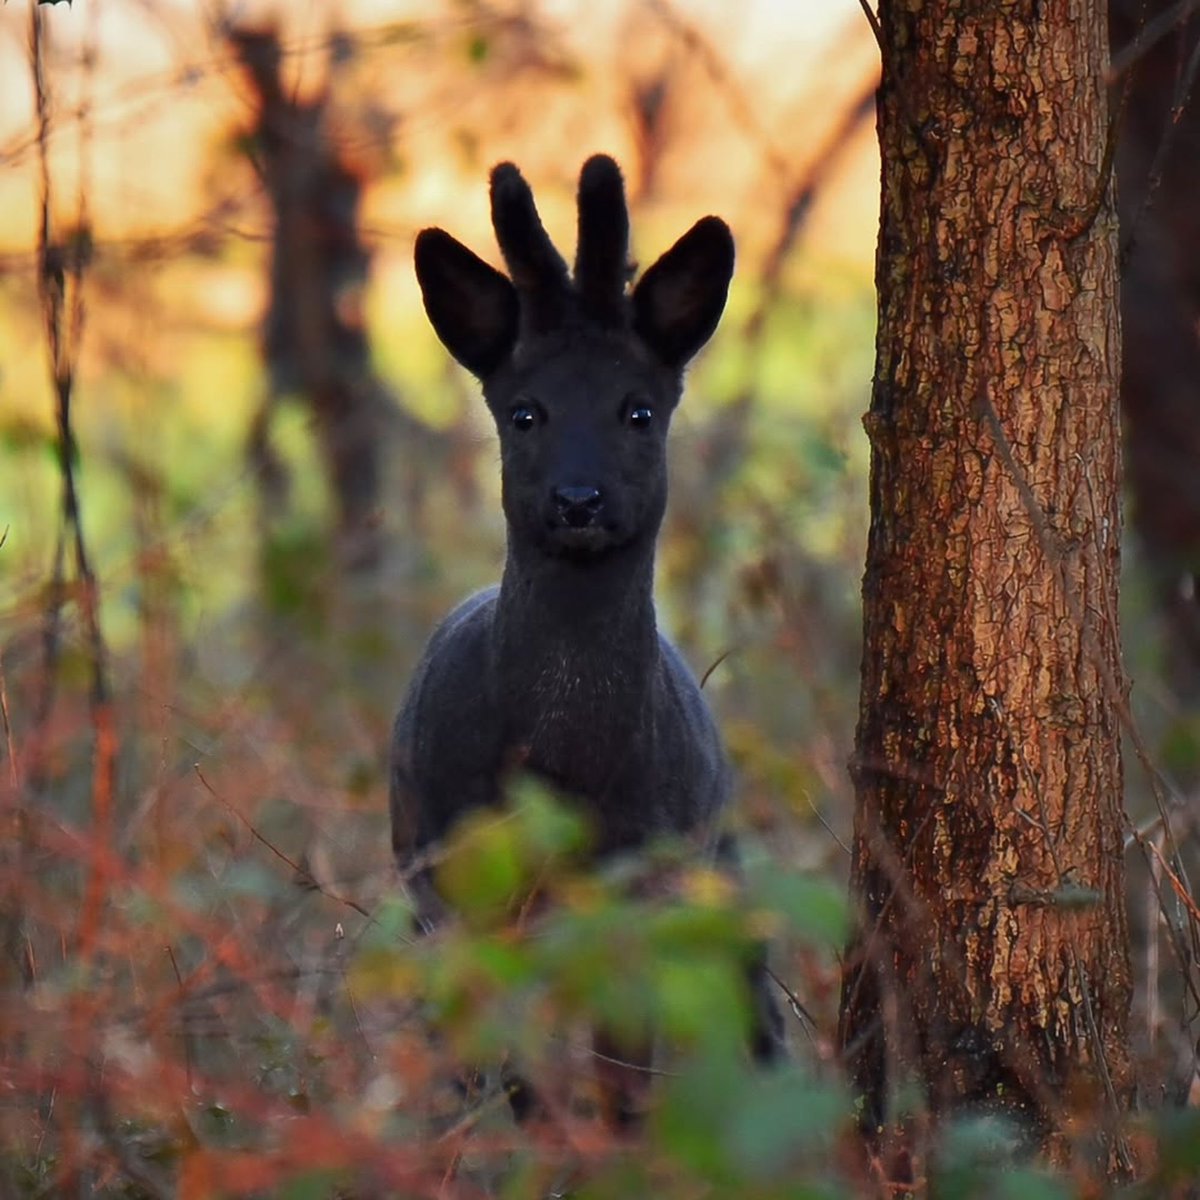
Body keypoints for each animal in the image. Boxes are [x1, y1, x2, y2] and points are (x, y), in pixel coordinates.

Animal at [391, 154, 783, 1124]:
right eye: (524, 412)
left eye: (637, 410)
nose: (577, 501)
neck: (564, 775)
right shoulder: (455, 886)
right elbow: (505, 1070)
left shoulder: (644, 890)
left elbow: (625, 1087)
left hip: (722, 860)